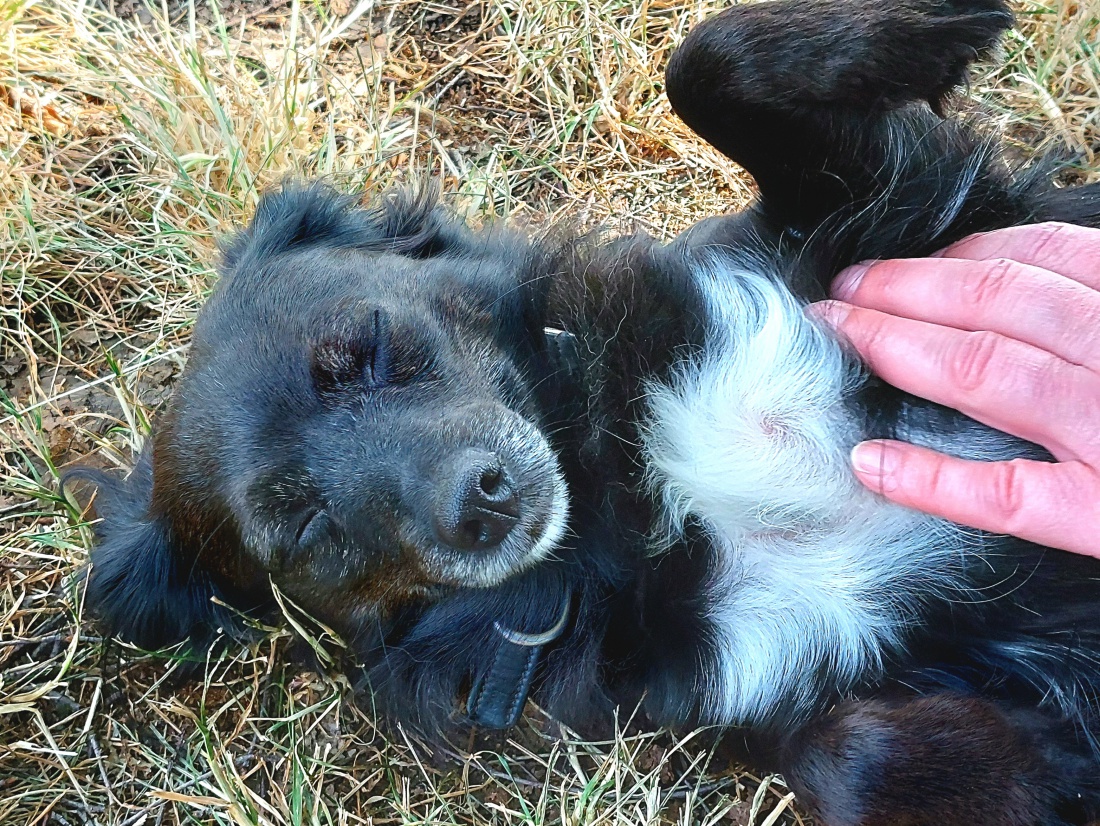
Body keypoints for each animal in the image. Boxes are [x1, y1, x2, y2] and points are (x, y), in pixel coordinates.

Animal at [75, 0, 1100, 822]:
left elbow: (706, 60)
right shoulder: (761, 676)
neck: (623, 481)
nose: (476, 502)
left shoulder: (877, 234)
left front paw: (937, 25)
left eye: (368, 346)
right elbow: (845, 755)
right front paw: (1041, 765)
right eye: (308, 531)